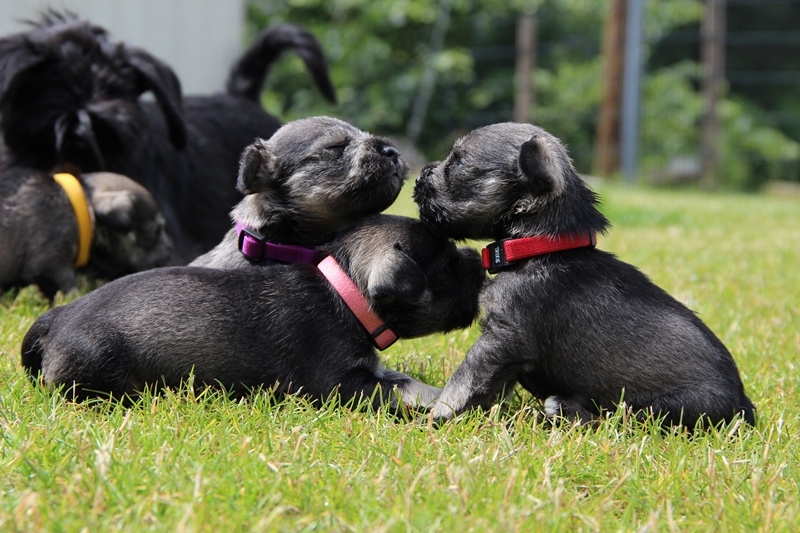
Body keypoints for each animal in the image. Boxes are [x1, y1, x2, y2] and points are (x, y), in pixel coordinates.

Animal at [23, 214, 488, 410]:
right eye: (447, 262)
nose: (481, 264)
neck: (343, 292)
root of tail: (56, 317)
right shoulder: (341, 384)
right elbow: (398, 392)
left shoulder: (367, 370)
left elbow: (404, 380)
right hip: (101, 371)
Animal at [412, 121, 756, 428]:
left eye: (458, 161)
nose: (419, 176)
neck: (538, 247)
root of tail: (744, 407)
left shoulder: (503, 339)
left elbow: (465, 378)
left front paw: (438, 415)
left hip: (661, 410)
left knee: (620, 421)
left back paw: (564, 411)